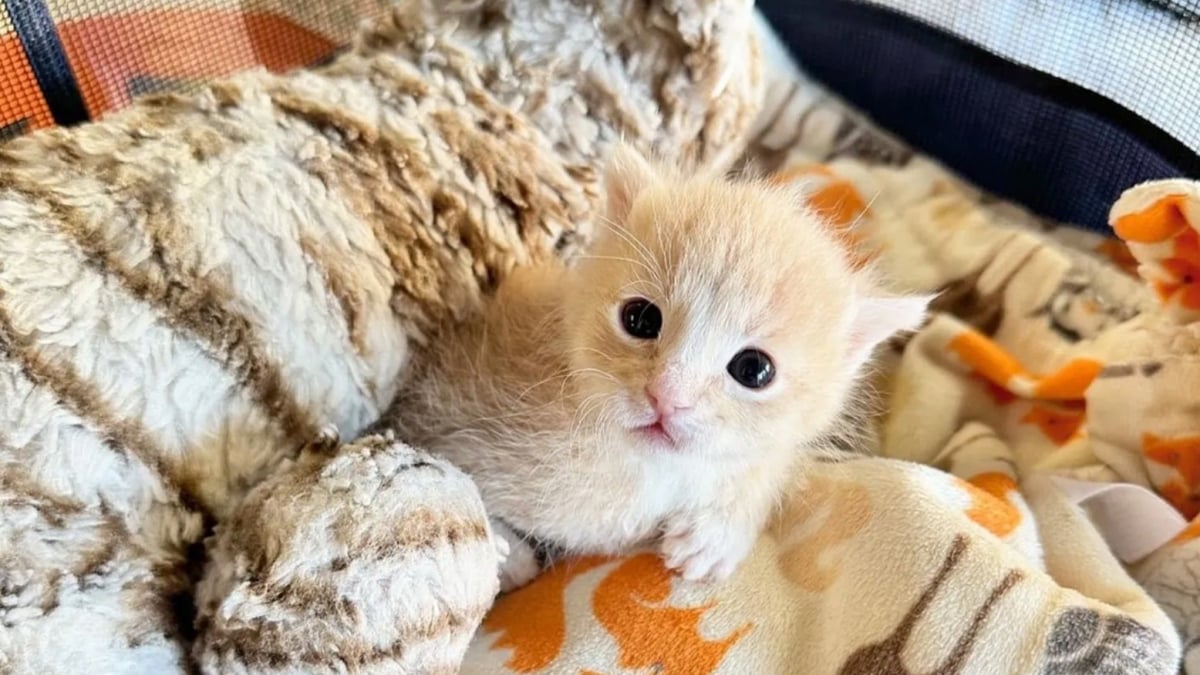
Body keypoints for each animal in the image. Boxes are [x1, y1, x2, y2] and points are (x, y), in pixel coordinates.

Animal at [388, 144, 931, 586]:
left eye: (754, 370)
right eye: (641, 319)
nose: (666, 397)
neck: (647, 471)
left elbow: (762, 465)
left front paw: (720, 532)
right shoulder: (446, 418)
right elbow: (448, 480)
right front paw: (504, 556)